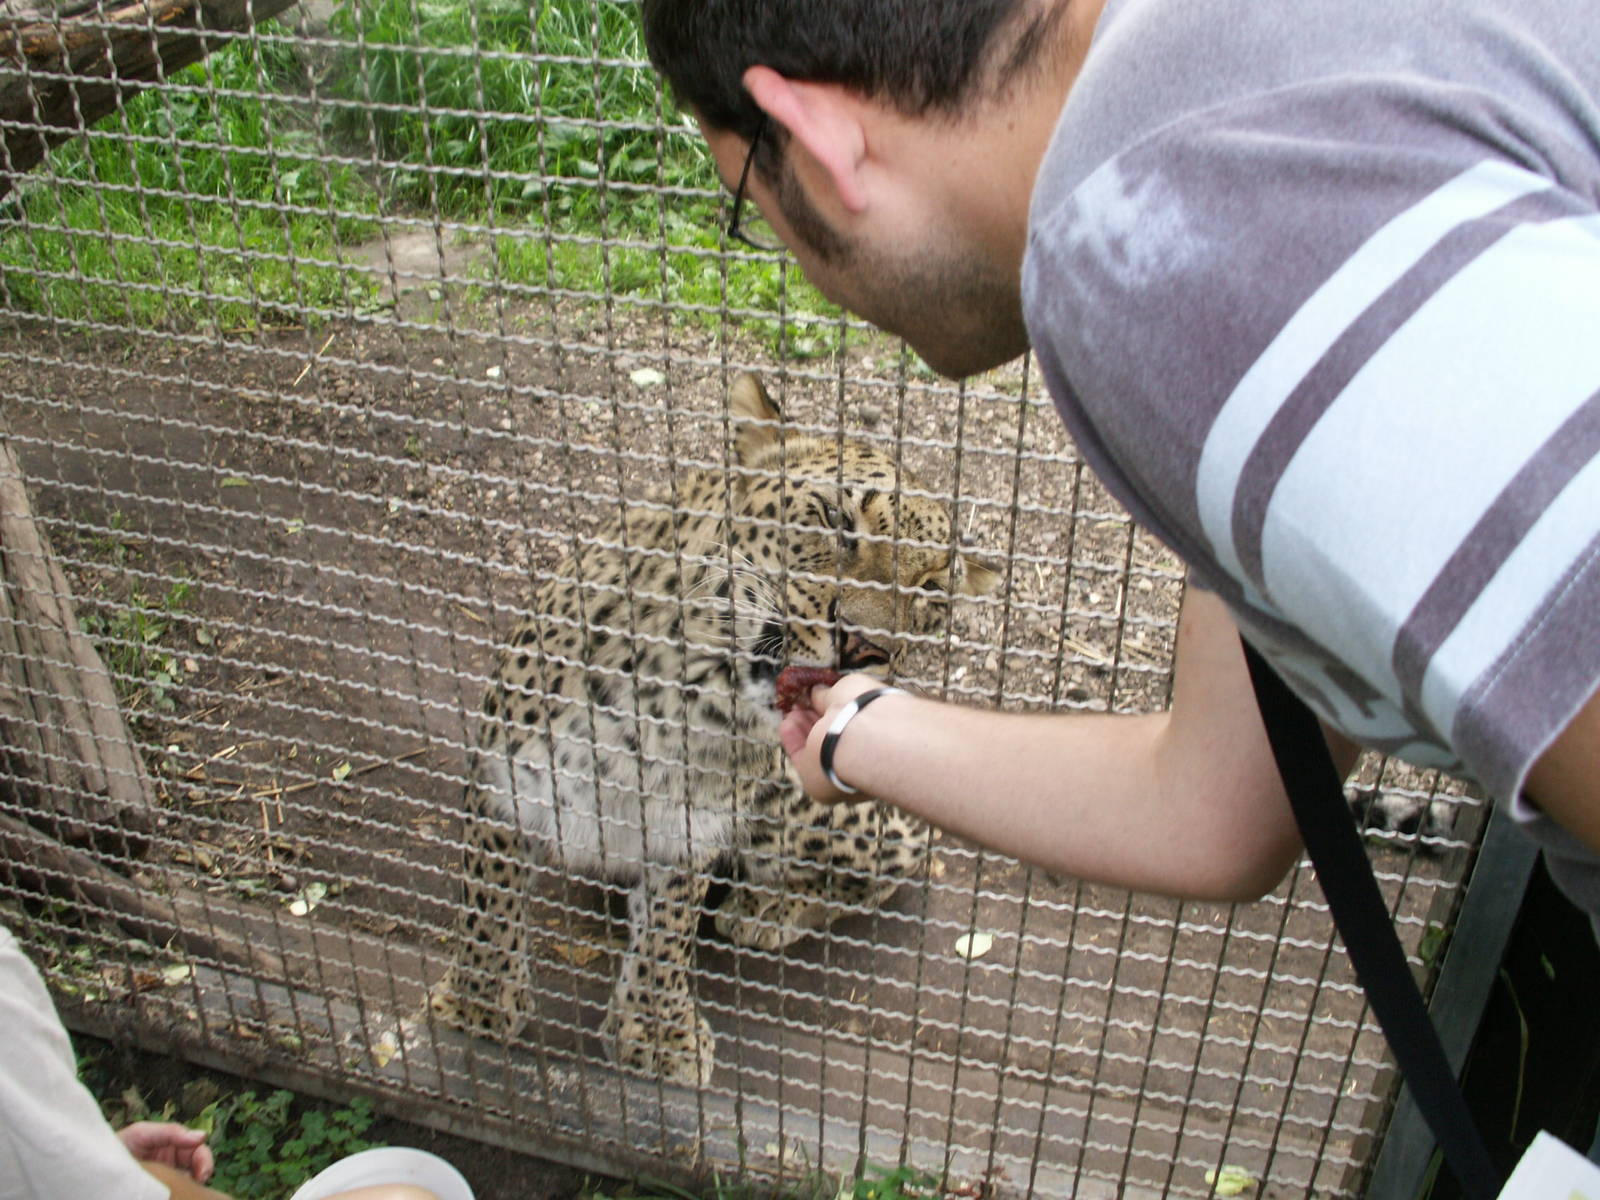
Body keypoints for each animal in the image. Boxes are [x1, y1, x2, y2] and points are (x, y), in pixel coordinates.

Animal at [429, 372, 998, 1086]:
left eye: (929, 593)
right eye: (838, 521)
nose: (868, 647)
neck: (678, 700)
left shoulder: (687, 834)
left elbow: (666, 935)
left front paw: (656, 1033)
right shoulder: (508, 779)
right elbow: (488, 896)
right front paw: (478, 1000)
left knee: (877, 874)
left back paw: (766, 910)